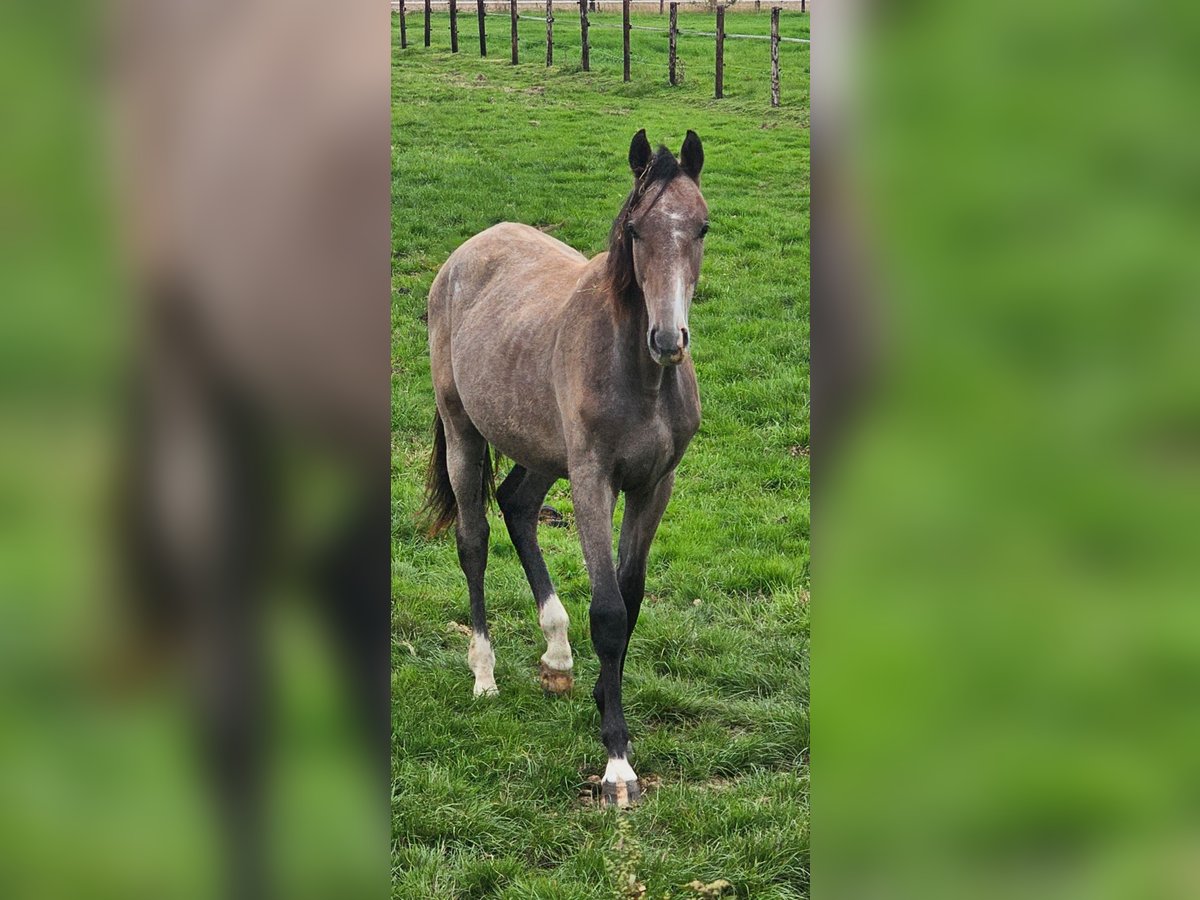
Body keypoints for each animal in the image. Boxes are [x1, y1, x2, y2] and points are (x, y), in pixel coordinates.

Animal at [423, 129, 709, 808]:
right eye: (635, 229)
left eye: (702, 227)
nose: (668, 340)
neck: (639, 376)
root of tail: (465, 254)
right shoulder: (592, 481)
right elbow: (607, 611)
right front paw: (617, 763)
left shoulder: (654, 486)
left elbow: (630, 600)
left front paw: (607, 699)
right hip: (465, 433)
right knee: (474, 540)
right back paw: (484, 674)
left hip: (539, 449)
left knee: (519, 504)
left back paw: (556, 652)